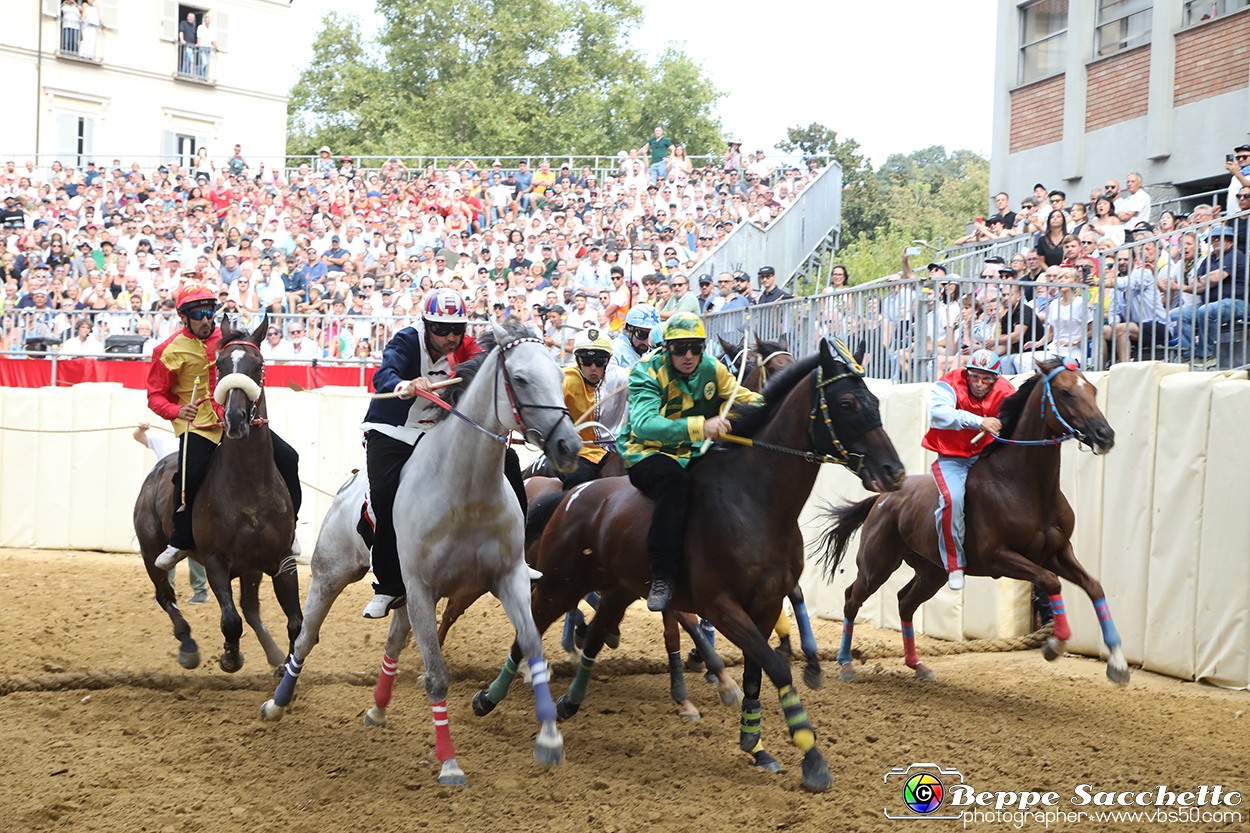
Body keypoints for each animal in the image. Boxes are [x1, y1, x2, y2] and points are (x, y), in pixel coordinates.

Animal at [134, 315, 302, 670]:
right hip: (150, 550)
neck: (249, 488)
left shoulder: (281, 560)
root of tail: (156, 470)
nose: (236, 419)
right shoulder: (215, 561)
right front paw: (230, 657)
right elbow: (230, 620)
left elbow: (296, 621)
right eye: (221, 364)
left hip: (252, 568)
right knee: (165, 596)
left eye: (258, 364)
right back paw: (187, 645)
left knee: (251, 608)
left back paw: (273, 654)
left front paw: (287, 667)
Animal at [470, 335, 910, 790]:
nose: (893, 471)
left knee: (593, 638)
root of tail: (571, 495)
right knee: (528, 636)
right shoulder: (720, 604)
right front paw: (811, 754)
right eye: (846, 402)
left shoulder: (766, 603)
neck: (753, 500)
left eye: (874, 400)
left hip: (618, 590)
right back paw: (489, 698)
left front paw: (755, 742)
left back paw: (569, 701)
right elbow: (774, 667)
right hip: (561, 581)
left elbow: (758, 670)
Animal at [820, 360, 1135, 685]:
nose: (1104, 434)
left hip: (931, 570)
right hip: (877, 564)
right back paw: (846, 663)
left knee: (905, 601)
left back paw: (917, 664)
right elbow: (1051, 581)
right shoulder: (998, 557)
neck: (1024, 485)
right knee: (852, 598)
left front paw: (1118, 663)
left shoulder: (1057, 552)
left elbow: (1094, 587)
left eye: (1093, 390)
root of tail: (882, 498)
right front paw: (1055, 643)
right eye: (1065, 392)